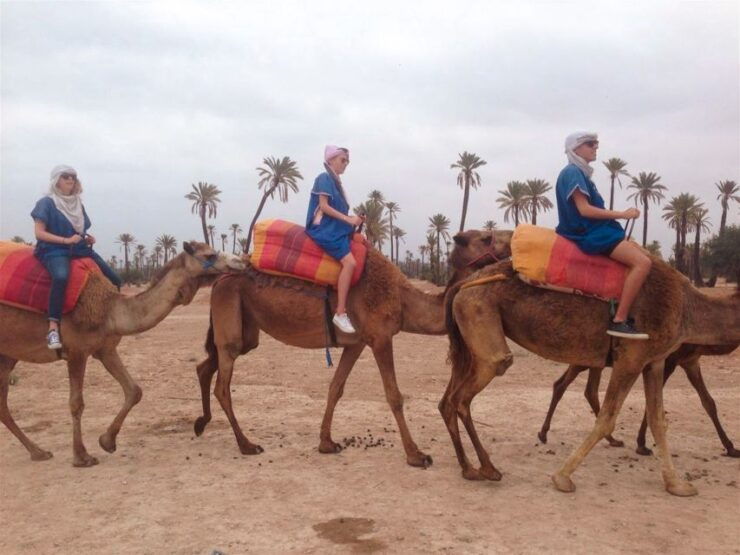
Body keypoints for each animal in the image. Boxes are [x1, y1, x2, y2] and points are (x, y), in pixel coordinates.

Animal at [0, 242, 244, 466]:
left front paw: (107, 441)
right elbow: (76, 403)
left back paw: (38, 452)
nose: (240, 262)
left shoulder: (106, 349)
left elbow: (134, 390)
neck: (110, 310)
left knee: (3, 406)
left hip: (7, 356)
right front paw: (82, 456)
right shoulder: (77, 351)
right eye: (209, 255)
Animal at [191, 233, 513, 467]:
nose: (513, 243)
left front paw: (326, 443)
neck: (402, 298)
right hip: (231, 314)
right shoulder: (380, 338)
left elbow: (336, 388)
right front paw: (416, 455)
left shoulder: (356, 342)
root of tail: (218, 280)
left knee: (206, 365)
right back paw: (246, 444)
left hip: (246, 329)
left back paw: (200, 424)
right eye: (487, 237)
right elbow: (394, 396)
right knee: (223, 384)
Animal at [538, 343, 739, 457]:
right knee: (568, 386)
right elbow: (652, 405)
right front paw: (642, 445)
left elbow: (709, 402)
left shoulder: (690, 361)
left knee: (583, 389)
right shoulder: (669, 361)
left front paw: (731, 448)